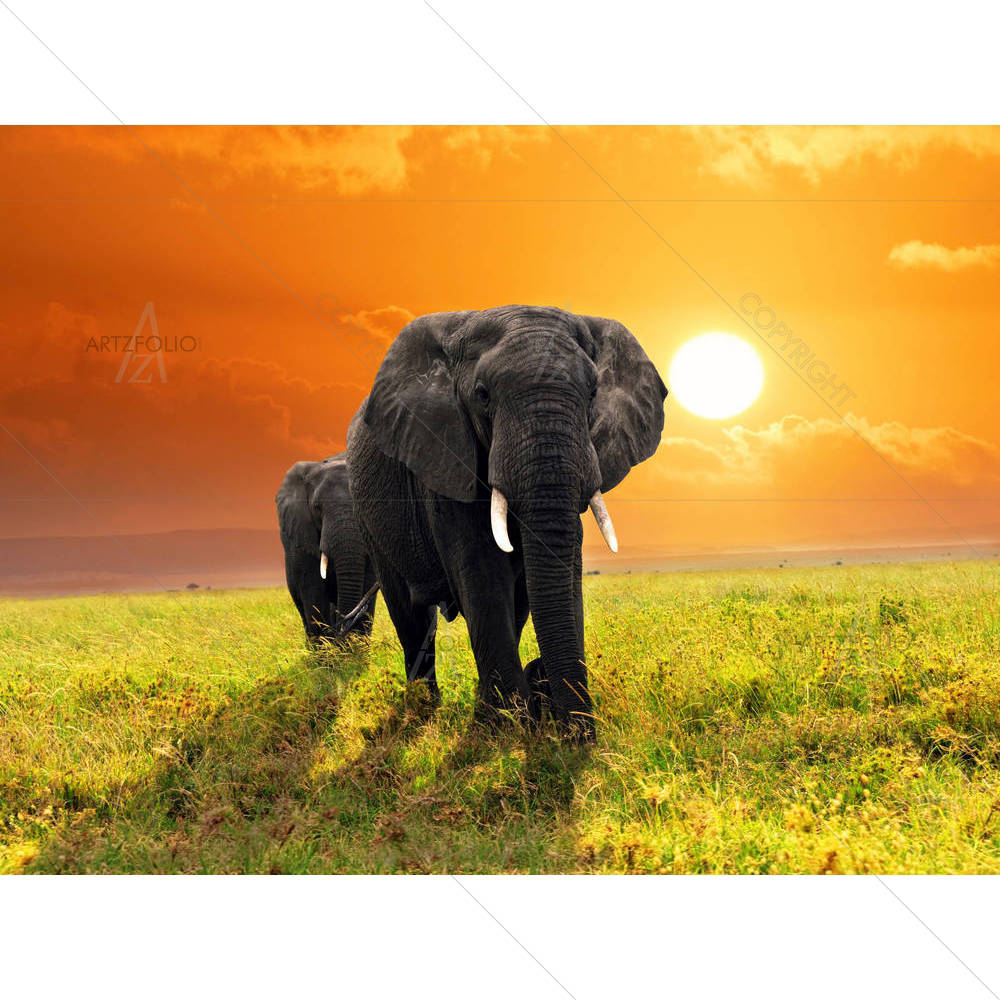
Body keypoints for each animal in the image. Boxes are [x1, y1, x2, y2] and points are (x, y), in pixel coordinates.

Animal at [276, 453, 377, 646]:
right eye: (317, 507)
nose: (341, 631)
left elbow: (367, 582)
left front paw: (353, 650)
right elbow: (313, 589)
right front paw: (329, 651)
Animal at [347, 305, 667, 741]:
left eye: (593, 394)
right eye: (482, 395)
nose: (576, 733)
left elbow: (554, 570)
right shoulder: (446, 454)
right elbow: (482, 572)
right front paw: (506, 729)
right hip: (370, 518)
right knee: (409, 612)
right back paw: (425, 709)